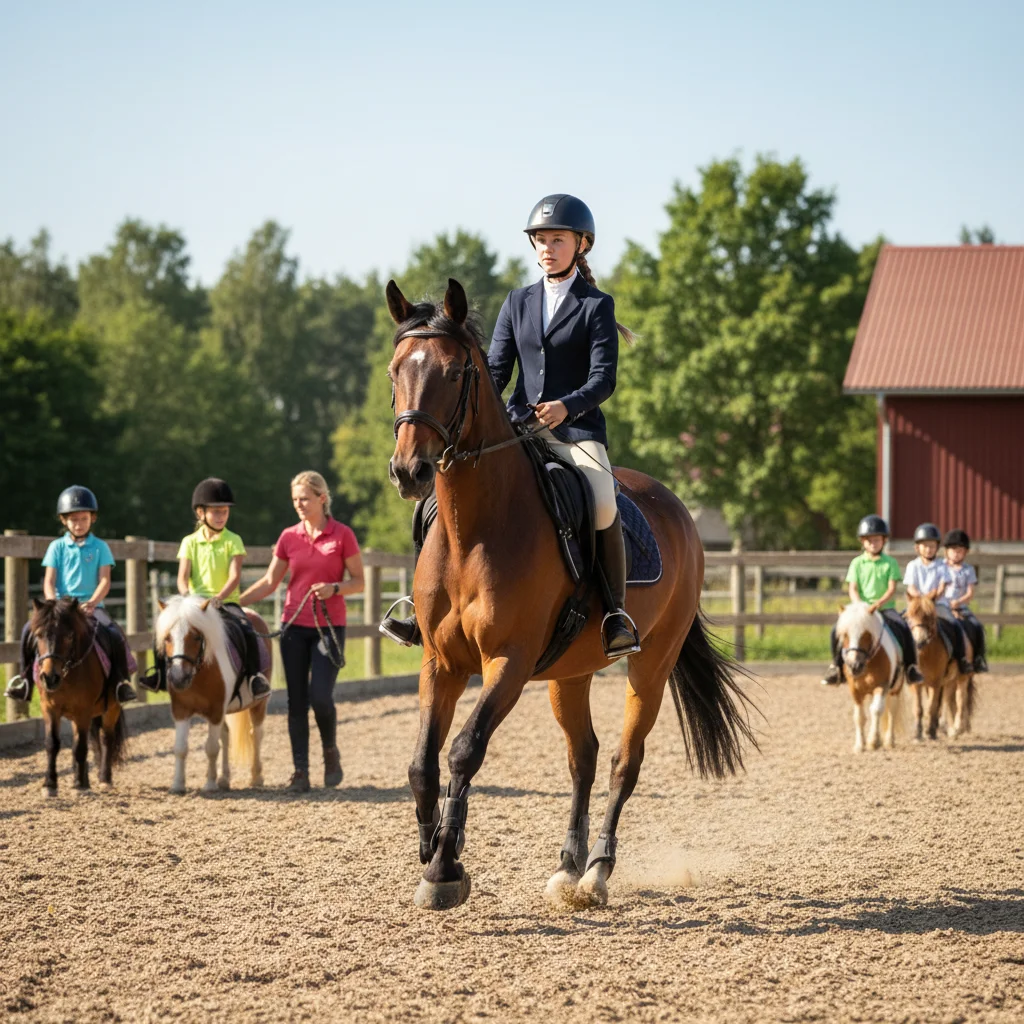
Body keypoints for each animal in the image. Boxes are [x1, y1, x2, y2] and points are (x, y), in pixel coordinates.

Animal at [28, 598, 128, 796]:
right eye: (39, 635)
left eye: (68, 636)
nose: (50, 678)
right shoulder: (49, 708)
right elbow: (52, 744)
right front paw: (50, 784)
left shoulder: (83, 711)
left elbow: (81, 747)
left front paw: (80, 786)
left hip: (112, 708)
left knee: (106, 738)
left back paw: (104, 779)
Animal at [154, 596, 270, 794]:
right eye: (168, 637)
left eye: (196, 637)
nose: (178, 678)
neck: (199, 674)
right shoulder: (181, 711)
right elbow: (180, 748)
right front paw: (178, 785)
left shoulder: (215, 712)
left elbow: (211, 748)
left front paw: (209, 784)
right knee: (226, 736)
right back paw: (224, 779)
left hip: (259, 705)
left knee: (255, 734)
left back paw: (256, 777)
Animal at [385, 278, 755, 911]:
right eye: (394, 371)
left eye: (455, 373)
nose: (410, 471)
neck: (473, 529)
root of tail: (676, 507)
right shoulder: (441, 661)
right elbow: (421, 765)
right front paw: (434, 855)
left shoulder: (507, 661)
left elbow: (464, 749)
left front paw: (444, 869)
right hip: (570, 671)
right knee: (583, 755)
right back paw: (568, 865)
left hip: (651, 664)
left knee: (623, 761)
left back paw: (598, 871)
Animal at [833, 602, 904, 753]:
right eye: (845, 634)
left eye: (866, 634)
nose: (854, 665)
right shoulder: (855, 690)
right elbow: (859, 717)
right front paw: (860, 745)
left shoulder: (881, 686)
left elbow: (876, 710)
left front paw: (873, 742)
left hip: (895, 688)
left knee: (892, 711)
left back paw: (889, 741)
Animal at [903, 595, 975, 740]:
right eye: (908, 616)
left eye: (930, 616)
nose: (919, 641)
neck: (925, 654)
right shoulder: (917, 683)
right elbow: (919, 708)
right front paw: (918, 733)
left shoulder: (935, 682)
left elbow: (932, 707)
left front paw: (930, 732)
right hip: (949, 681)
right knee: (948, 700)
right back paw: (948, 728)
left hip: (961, 677)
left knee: (960, 699)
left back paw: (956, 728)